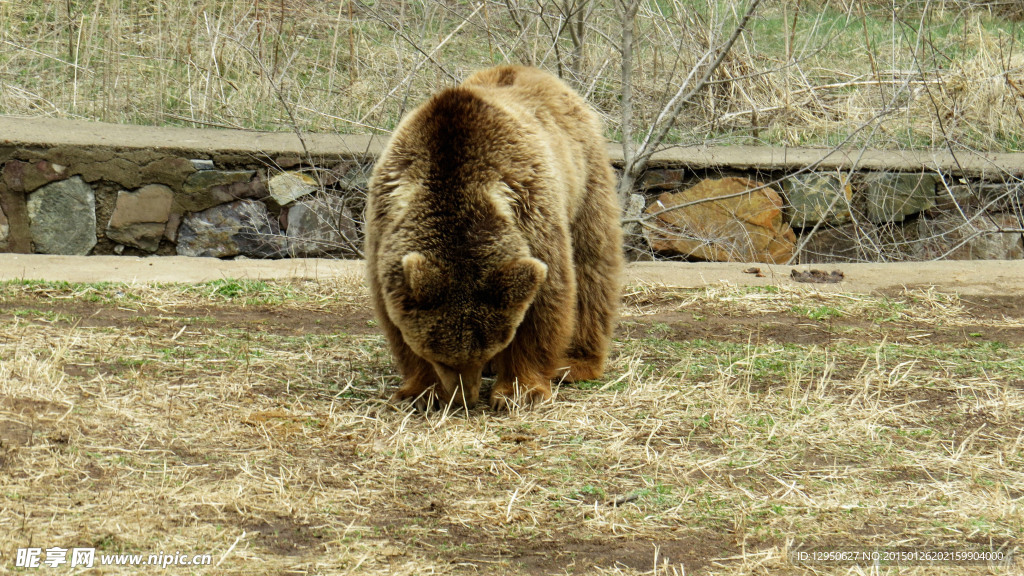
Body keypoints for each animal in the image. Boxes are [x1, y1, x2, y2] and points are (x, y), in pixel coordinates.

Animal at [368, 66, 622, 407]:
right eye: (441, 357)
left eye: (483, 350)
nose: (465, 397)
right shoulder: (385, 222)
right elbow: (394, 316)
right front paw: (421, 392)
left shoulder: (531, 212)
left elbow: (544, 301)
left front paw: (519, 391)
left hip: (585, 179)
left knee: (592, 268)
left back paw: (576, 362)